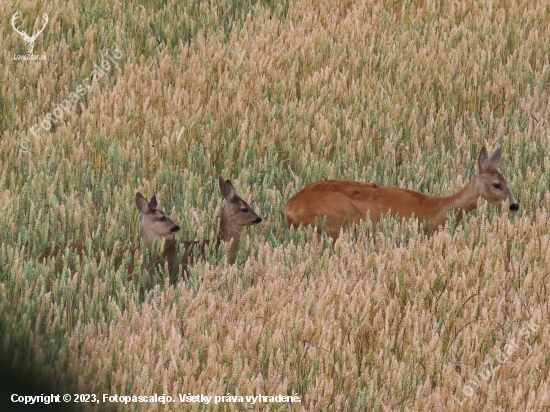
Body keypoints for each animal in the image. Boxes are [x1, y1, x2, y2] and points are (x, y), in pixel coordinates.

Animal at [284, 147, 520, 238]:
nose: (514, 205)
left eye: (506, 180)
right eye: (496, 184)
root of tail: (288, 208)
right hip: (339, 221)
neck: (437, 209)